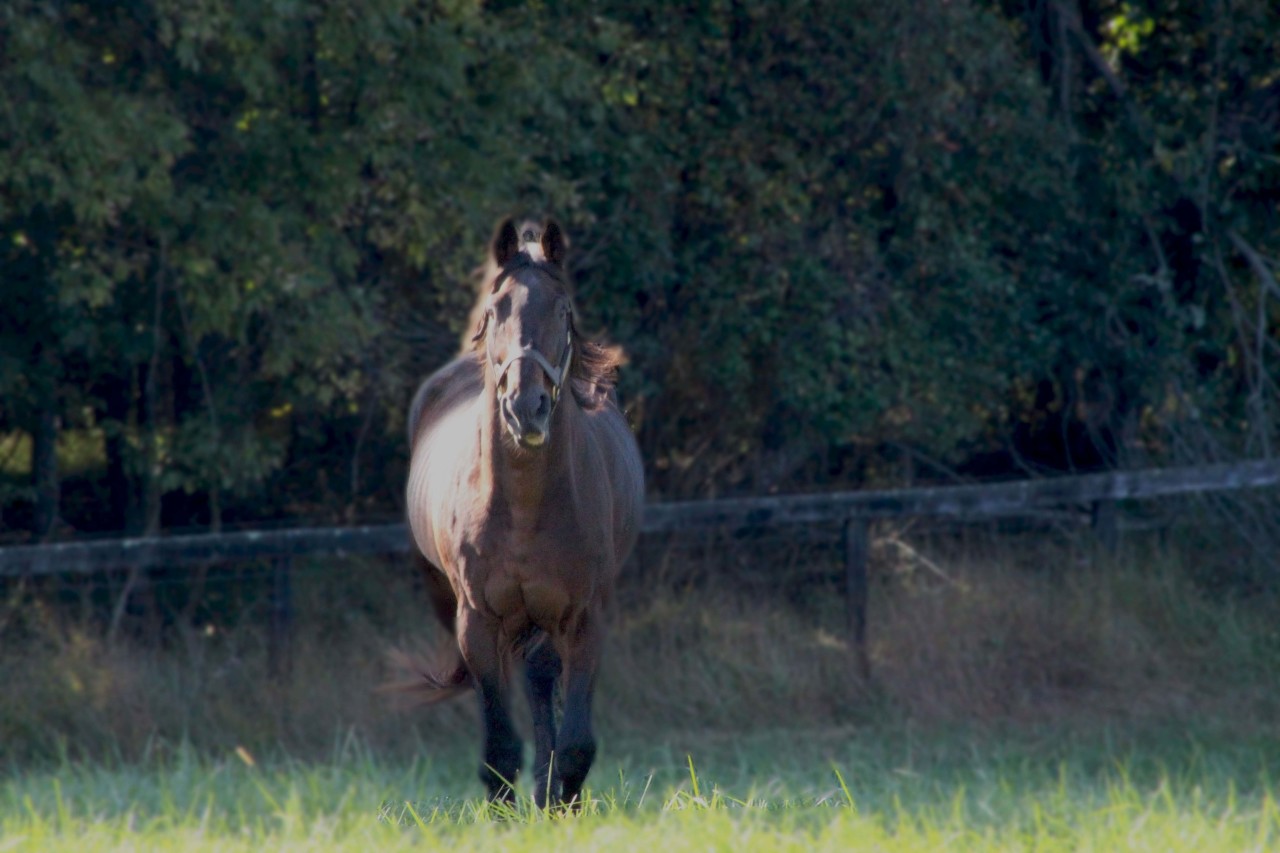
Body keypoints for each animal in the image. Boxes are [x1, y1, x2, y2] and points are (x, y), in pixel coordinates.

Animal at [404, 216, 645, 809]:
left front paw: (561, 805)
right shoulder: (477, 621)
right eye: (496, 311)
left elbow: (576, 741)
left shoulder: (585, 619)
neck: (523, 504)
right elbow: (499, 749)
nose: (524, 406)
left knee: (541, 681)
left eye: (562, 309)